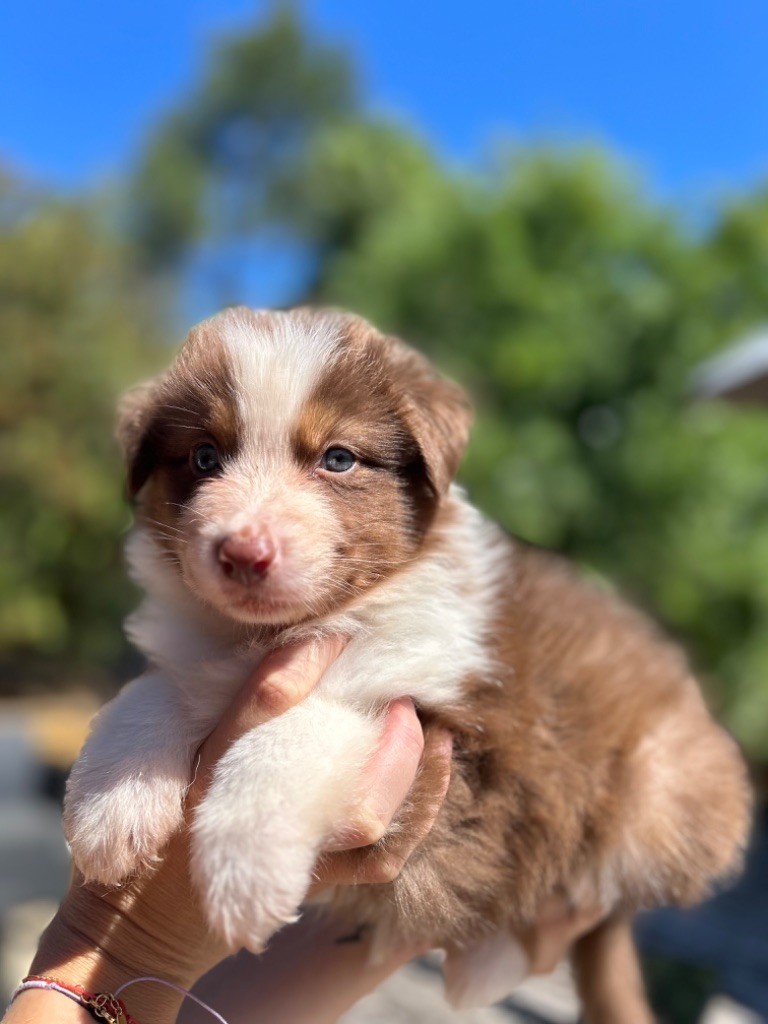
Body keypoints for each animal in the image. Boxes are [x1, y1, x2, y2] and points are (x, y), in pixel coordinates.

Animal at [64, 306, 751, 1021]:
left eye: (338, 458)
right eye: (204, 456)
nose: (243, 553)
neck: (269, 636)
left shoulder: (412, 709)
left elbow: (286, 737)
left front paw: (243, 873)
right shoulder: (196, 658)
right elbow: (148, 698)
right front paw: (111, 814)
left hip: (660, 785)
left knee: (586, 895)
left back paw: (483, 964)